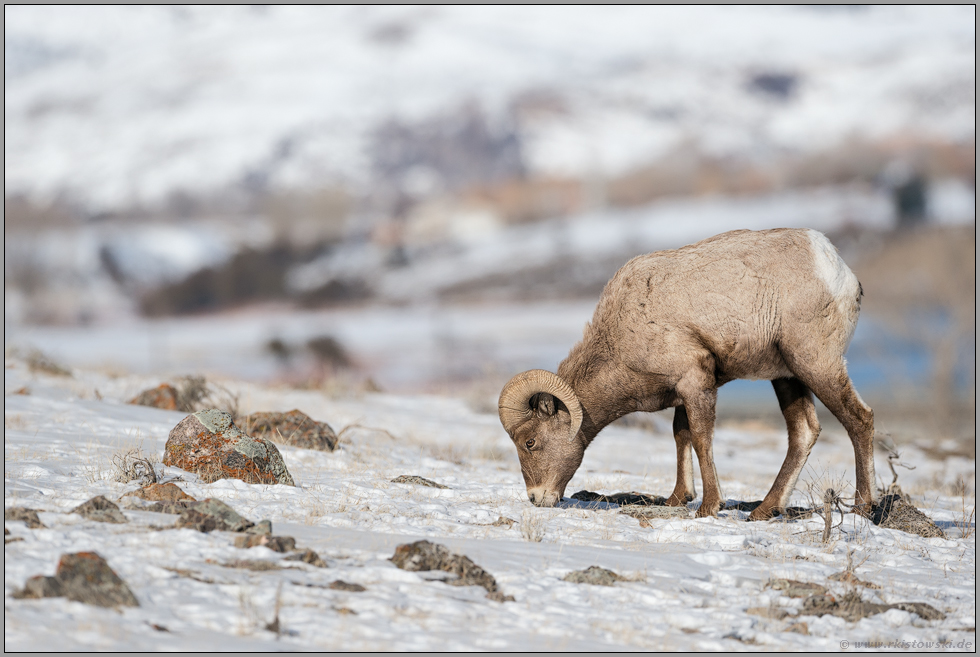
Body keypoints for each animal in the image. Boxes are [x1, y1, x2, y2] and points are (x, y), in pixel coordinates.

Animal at [502, 228, 876, 520]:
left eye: (529, 442)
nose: (536, 498)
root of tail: (836, 268)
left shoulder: (695, 382)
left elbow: (700, 437)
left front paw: (709, 507)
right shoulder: (682, 391)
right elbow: (680, 434)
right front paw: (678, 499)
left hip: (815, 364)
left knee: (859, 419)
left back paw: (862, 506)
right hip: (787, 376)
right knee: (803, 432)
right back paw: (764, 511)